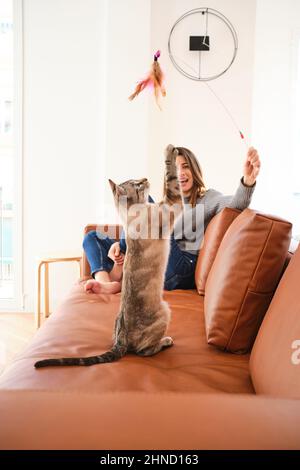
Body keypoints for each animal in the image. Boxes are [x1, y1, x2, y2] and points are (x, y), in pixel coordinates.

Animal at [34, 143, 182, 368]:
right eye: (137, 184)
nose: (145, 178)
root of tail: (121, 339)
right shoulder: (171, 203)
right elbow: (171, 176)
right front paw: (170, 150)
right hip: (166, 310)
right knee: (144, 351)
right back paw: (165, 341)